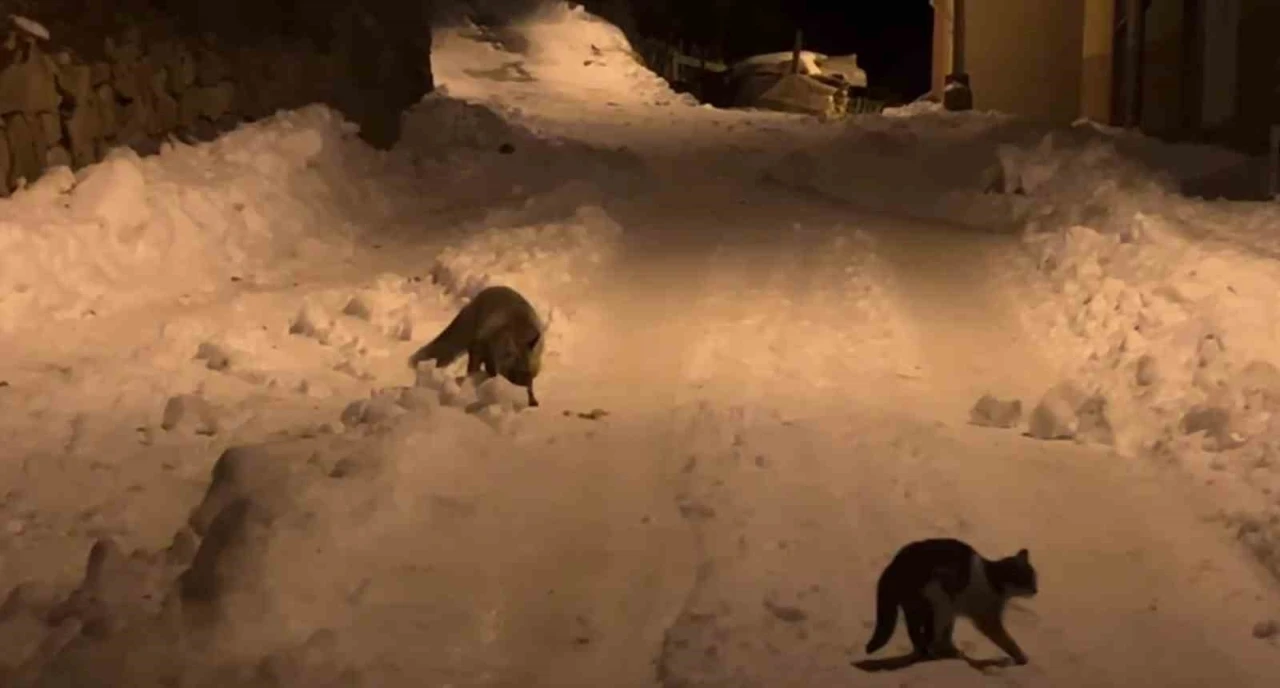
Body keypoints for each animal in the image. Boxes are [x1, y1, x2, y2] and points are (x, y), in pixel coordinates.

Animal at [409, 285, 545, 406]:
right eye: (513, 374)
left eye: (527, 373)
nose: (518, 394)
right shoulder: (480, 346)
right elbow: (477, 370)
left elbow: (530, 387)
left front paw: (532, 400)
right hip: (477, 346)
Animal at [865, 534, 1034, 664]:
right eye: (1030, 580)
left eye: (1035, 580)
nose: (1036, 590)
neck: (994, 579)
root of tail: (893, 565)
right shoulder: (987, 619)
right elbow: (1007, 641)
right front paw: (1021, 657)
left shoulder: (955, 610)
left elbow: (947, 633)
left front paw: (950, 650)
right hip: (938, 600)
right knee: (927, 635)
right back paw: (935, 654)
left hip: (925, 605)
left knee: (917, 634)